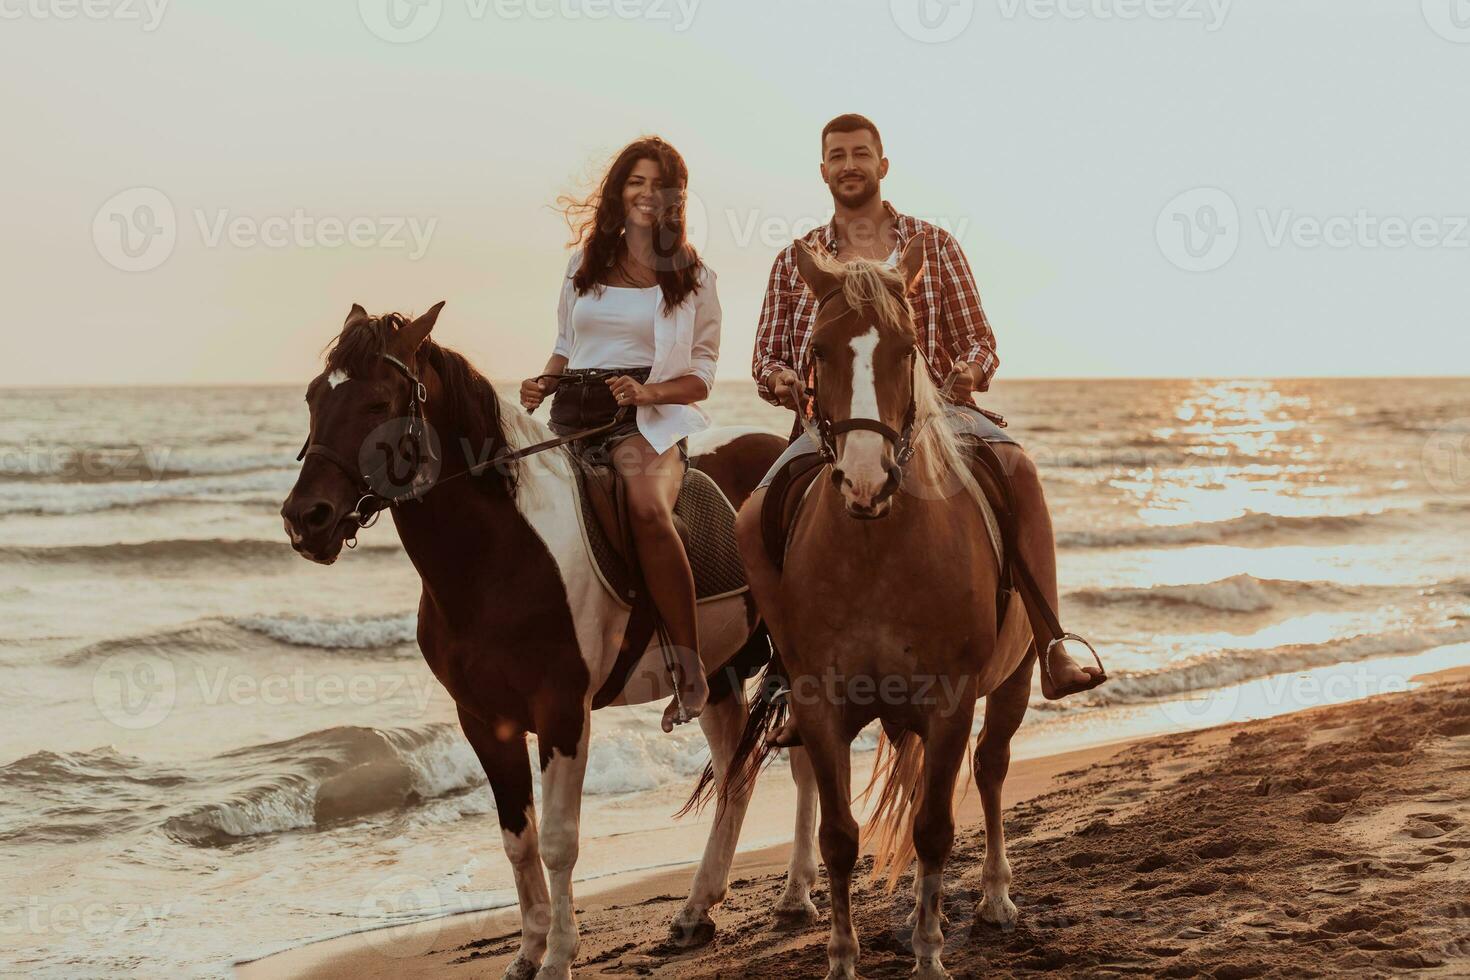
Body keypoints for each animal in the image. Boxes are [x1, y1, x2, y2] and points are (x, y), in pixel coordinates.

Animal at [280, 302, 811, 975]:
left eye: (377, 403)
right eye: (313, 396)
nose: (306, 519)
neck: (497, 557)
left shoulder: (562, 711)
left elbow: (559, 841)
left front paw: (559, 956)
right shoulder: (485, 719)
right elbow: (518, 838)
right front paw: (528, 952)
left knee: (802, 762)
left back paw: (795, 897)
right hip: (717, 676)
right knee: (737, 776)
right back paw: (697, 912)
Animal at [732, 240, 1034, 975]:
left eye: (906, 350)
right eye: (817, 350)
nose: (867, 479)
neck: (875, 551)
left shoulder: (951, 701)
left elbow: (933, 828)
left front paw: (928, 954)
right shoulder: (820, 706)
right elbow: (840, 836)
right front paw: (842, 958)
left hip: (1013, 680)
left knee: (990, 769)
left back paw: (996, 898)